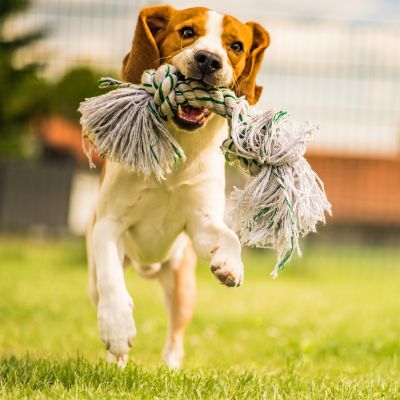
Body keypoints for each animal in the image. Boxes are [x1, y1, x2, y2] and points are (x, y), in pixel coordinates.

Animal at [86, 5, 270, 368]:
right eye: (187, 32)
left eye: (236, 46)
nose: (208, 60)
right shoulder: (109, 222)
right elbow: (112, 279)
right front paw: (117, 327)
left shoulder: (199, 223)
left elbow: (228, 236)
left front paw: (231, 264)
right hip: (95, 279)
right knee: (105, 285)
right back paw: (116, 361)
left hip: (182, 285)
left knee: (176, 336)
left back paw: (171, 368)